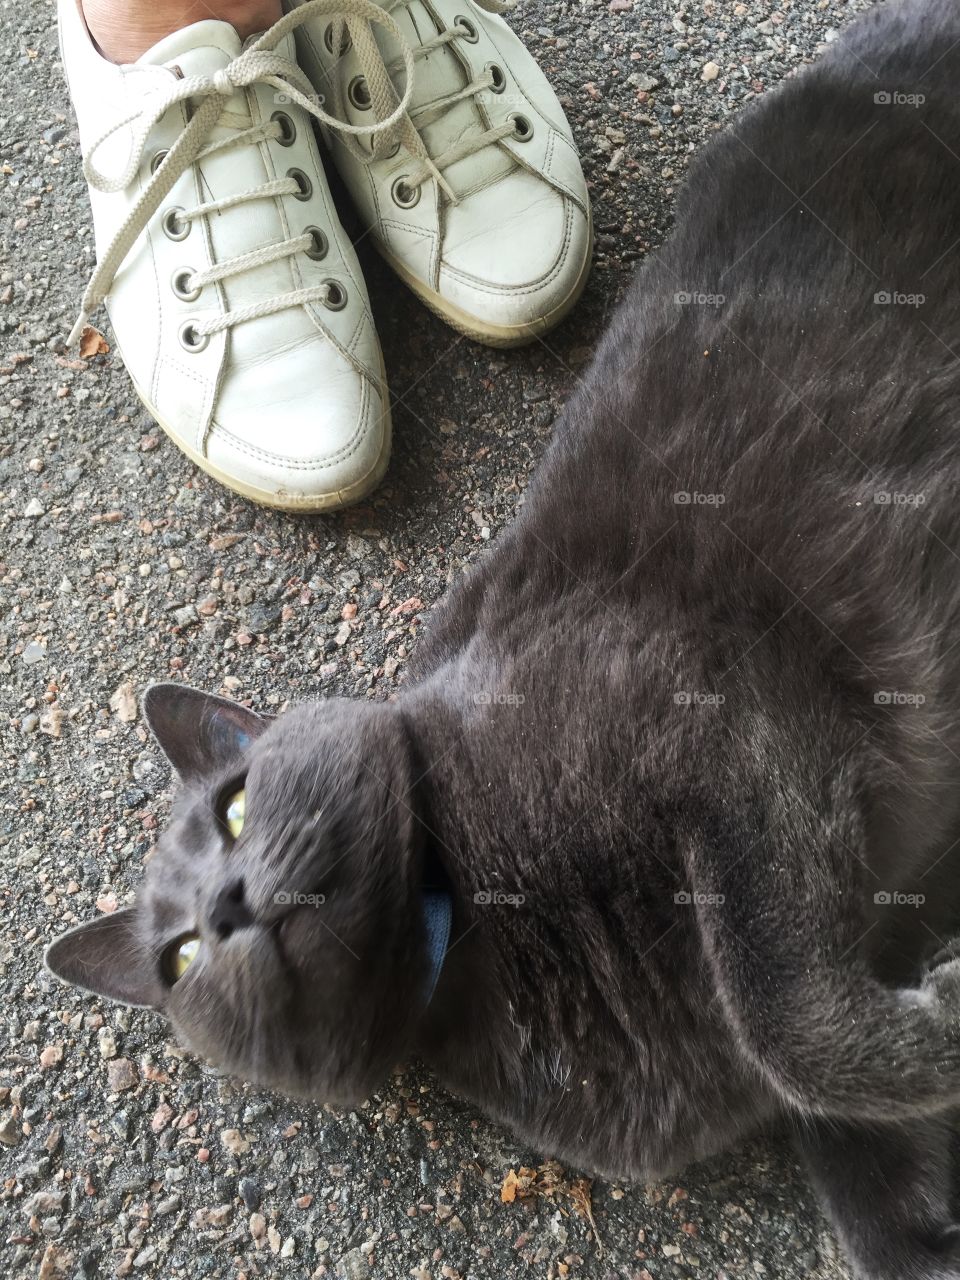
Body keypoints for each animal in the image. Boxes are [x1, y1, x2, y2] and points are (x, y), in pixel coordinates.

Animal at [47, 5, 960, 1274]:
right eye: (179, 956)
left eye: (233, 808)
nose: (225, 906)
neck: (471, 924)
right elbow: (856, 1158)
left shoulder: (727, 719)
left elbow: (777, 1005)